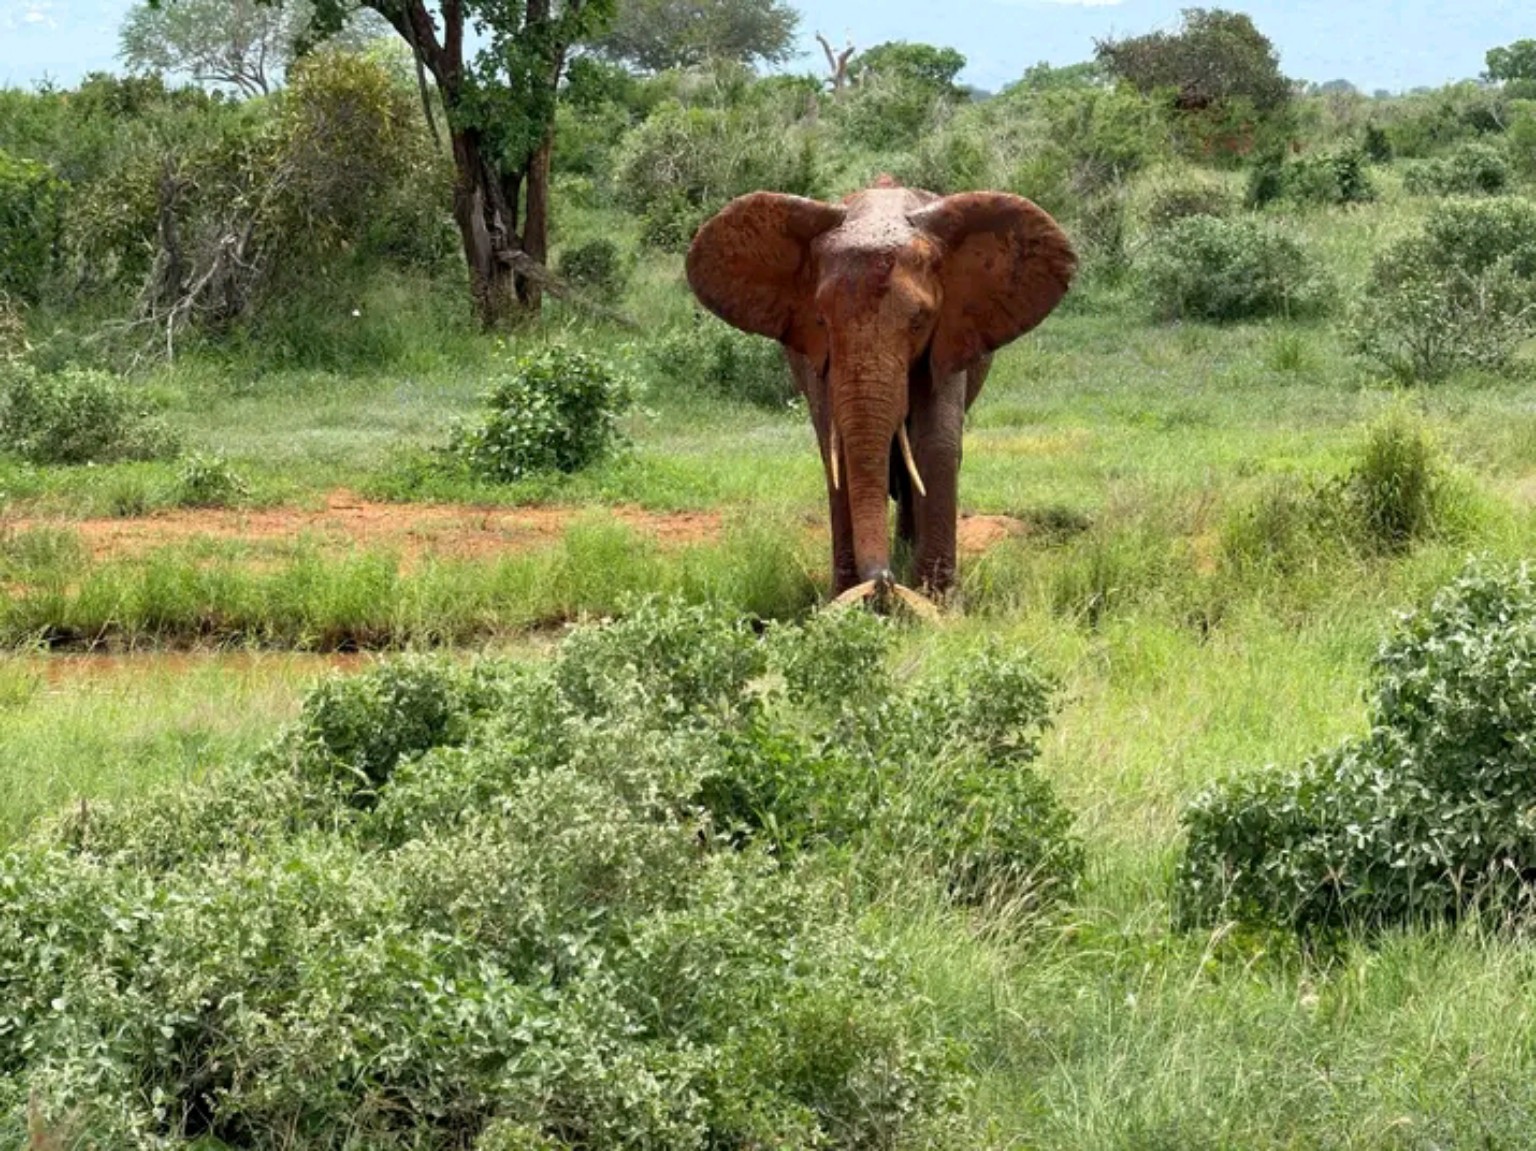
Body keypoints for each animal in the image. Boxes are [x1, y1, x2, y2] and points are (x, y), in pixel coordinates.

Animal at [685, 179, 1077, 602]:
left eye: (920, 321)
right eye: (822, 320)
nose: (883, 581)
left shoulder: (950, 334)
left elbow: (935, 443)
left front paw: (937, 601)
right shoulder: (817, 354)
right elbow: (836, 448)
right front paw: (844, 596)